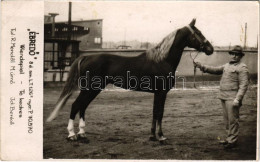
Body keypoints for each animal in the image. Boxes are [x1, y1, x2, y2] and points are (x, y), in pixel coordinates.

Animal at [46, 19, 213, 143]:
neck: (161, 60)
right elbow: (159, 113)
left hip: (93, 90)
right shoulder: (161, 93)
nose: (210, 49)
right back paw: (72, 135)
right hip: (89, 89)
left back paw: (82, 133)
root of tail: (85, 57)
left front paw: (152, 136)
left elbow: (155, 112)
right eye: (198, 33)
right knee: (76, 105)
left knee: (83, 106)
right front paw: (161, 136)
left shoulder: (158, 93)